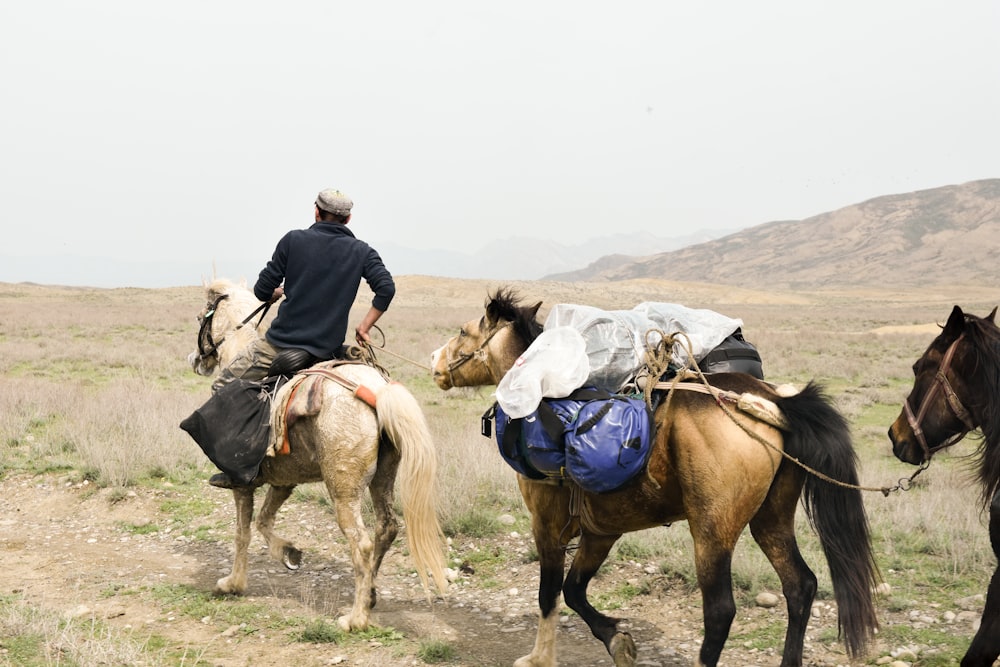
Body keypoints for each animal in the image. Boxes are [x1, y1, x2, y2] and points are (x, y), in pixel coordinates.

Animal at [185, 278, 450, 632]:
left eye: (202, 316)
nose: (196, 359)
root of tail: (376, 391)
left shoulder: (243, 484)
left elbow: (243, 532)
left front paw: (233, 583)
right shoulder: (283, 481)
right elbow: (264, 521)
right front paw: (289, 553)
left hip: (344, 489)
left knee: (361, 543)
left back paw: (355, 618)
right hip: (383, 476)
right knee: (387, 528)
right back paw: (370, 595)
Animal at [434, 290, 880, 667]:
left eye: (463, 331)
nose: (436, 362)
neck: (543, 393)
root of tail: (771, 402)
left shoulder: (547, 523)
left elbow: (549, 594)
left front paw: (540, 657)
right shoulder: (601, 530)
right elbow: (574, 590)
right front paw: (618, 640)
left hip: (712, 530)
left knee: (721, 611)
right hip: (771, 517)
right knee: (800, 586)